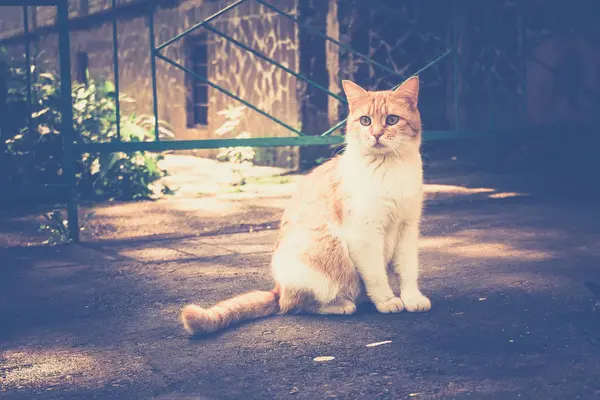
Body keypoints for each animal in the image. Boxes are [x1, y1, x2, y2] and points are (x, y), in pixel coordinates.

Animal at [183, 76, 432, 336]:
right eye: (365, 121)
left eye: (392, 120)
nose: (376, 134)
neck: (389, 169)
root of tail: (278, 288)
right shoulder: (365, 234)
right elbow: (376, 275)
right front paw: (387, 301)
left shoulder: (407, 228)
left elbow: (408, 270)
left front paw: (412, 298)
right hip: (326, 252)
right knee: (294, 305)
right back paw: (342, 305)